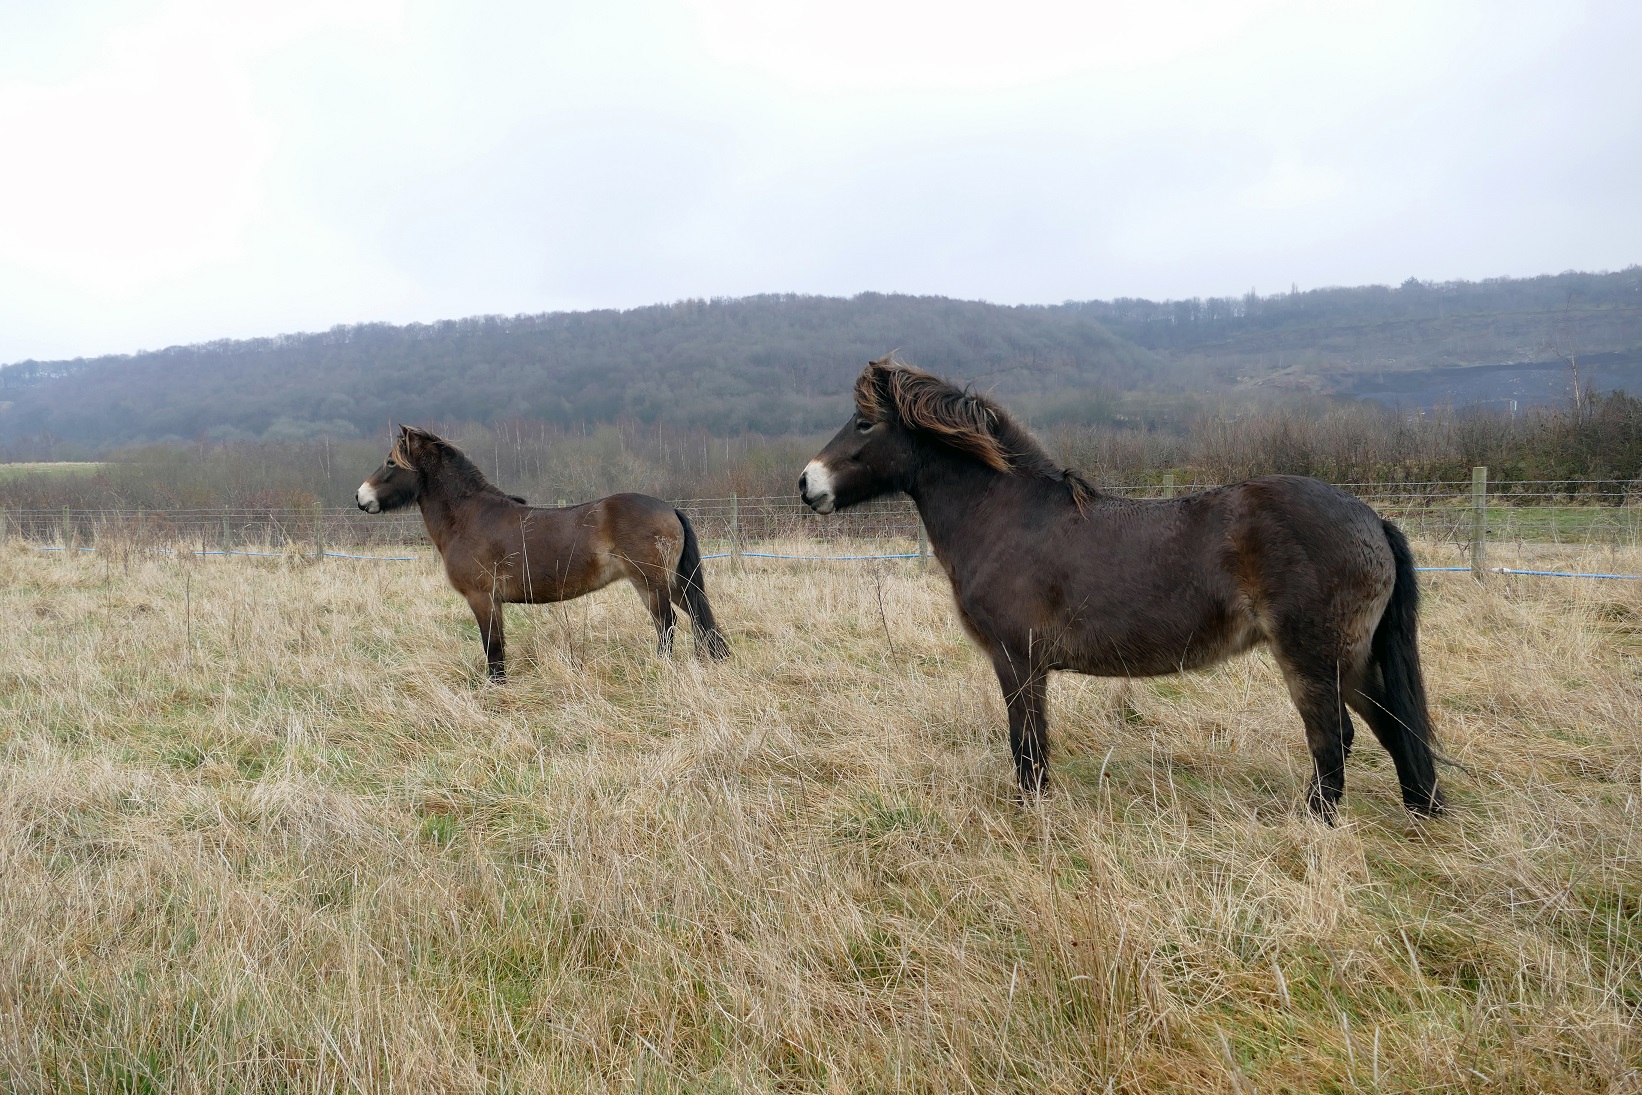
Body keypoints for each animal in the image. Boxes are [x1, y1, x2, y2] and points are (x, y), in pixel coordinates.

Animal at [359, 426, 732, 676]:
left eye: (391, 463)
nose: (361, 498)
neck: (469, 517)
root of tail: (669, 508)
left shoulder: (482, 598)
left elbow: (493, 648)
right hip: (672, 583)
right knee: (696, 616)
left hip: (651, 583)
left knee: (666, 625)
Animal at [801, 359, 1444, 820]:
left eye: (864, 423)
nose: (807, 484)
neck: (1009, 517)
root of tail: (1372, 519)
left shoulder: (1018, 661)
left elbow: (1026, 746)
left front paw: (1030, 814)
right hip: (1352, 660)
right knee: (1395, 728)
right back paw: (1421, 812)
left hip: (1313, 657)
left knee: (1334, 738)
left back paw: (1313, 823)